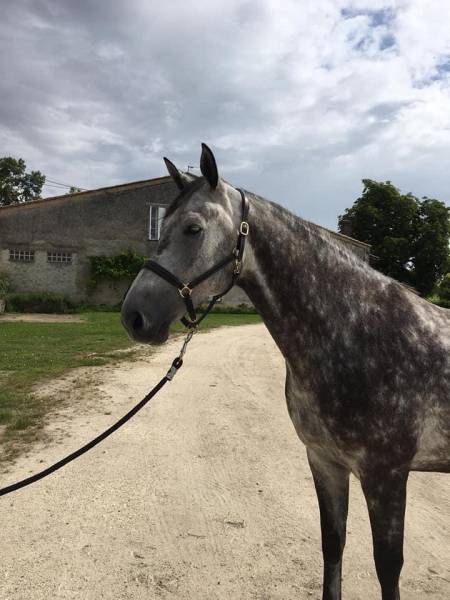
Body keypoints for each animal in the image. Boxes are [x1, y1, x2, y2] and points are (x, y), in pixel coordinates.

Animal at [120, 144, 450, 600]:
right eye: (161, 225)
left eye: (193, 228)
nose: (133, 317)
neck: (358, 331)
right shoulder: (324, 461)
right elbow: (333, 545)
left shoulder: (386, 476)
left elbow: (388, 568)